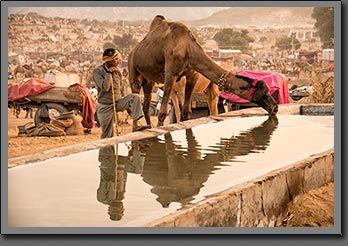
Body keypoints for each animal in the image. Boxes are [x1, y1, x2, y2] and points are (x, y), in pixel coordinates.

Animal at [128, 14, 278, 127]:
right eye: (265, 93)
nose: (275, 107)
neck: (188, 48)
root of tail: (133, 50)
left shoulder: (192, 75)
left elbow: (186, 111)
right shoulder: (170, 74)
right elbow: (163, 112)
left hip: (149, 80)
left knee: (146, 105)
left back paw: (148, 127)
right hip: (132, 69)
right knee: (136, 93)